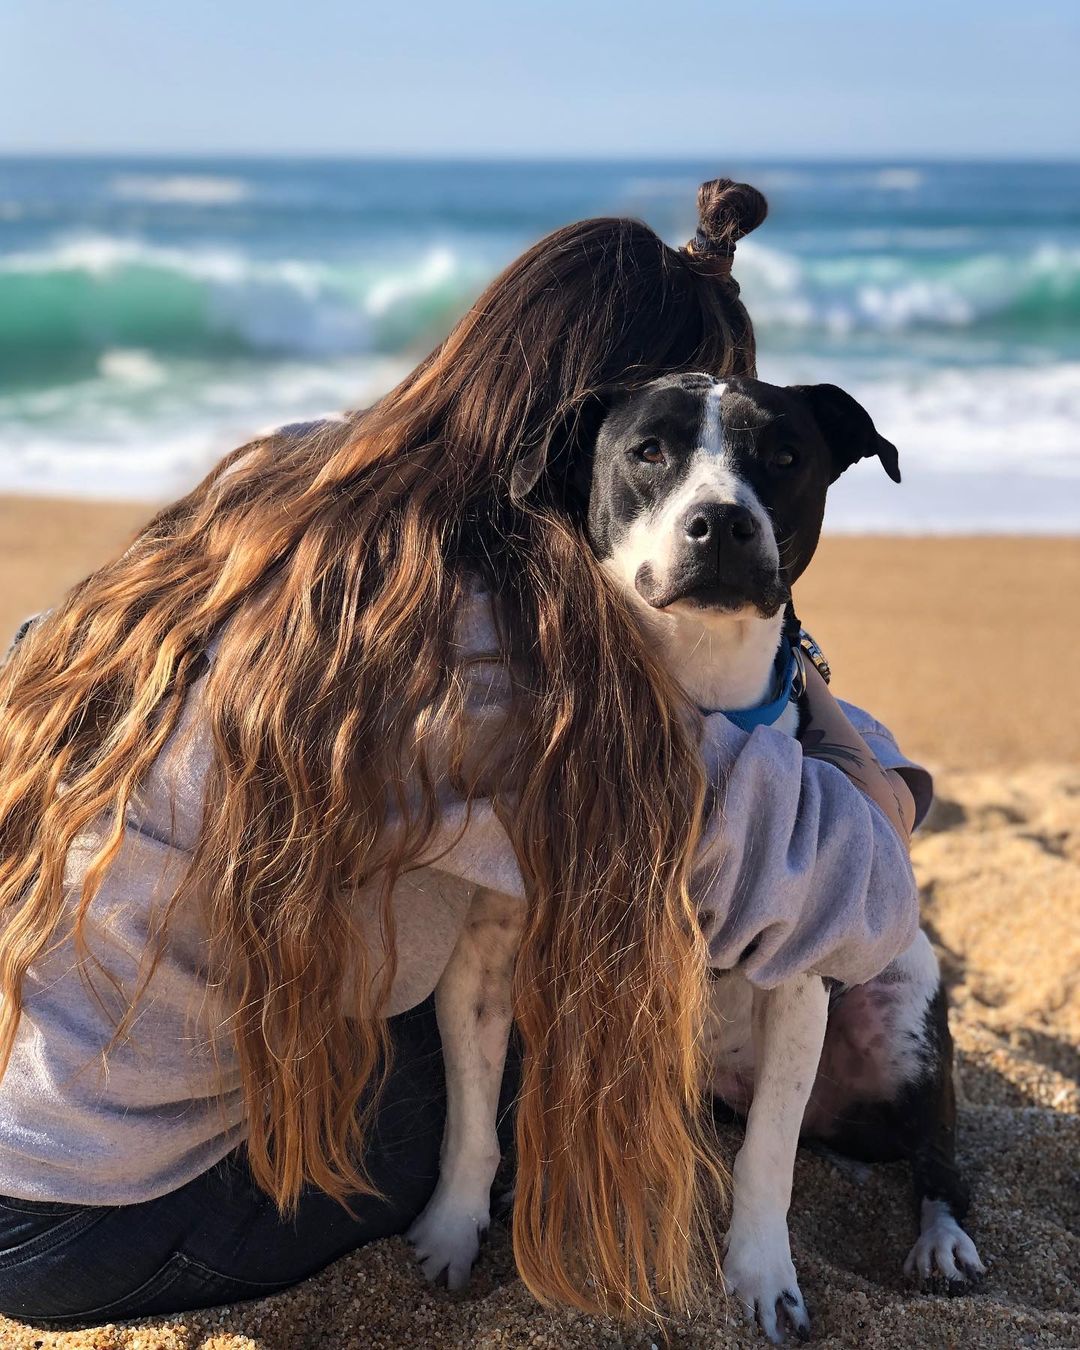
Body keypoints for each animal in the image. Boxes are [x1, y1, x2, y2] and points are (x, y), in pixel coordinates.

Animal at [410, 369, 982, 1339]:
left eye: (784, 456)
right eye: (649, 451)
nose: (721, 520)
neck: (699, 697)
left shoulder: (800, 972)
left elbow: (769, 1162)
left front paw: (761, 1277)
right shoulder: (485, 959)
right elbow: (471, 1122)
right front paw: (451, 1230)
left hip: (903, 1022)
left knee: (936, 1157)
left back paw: (942, 1244)